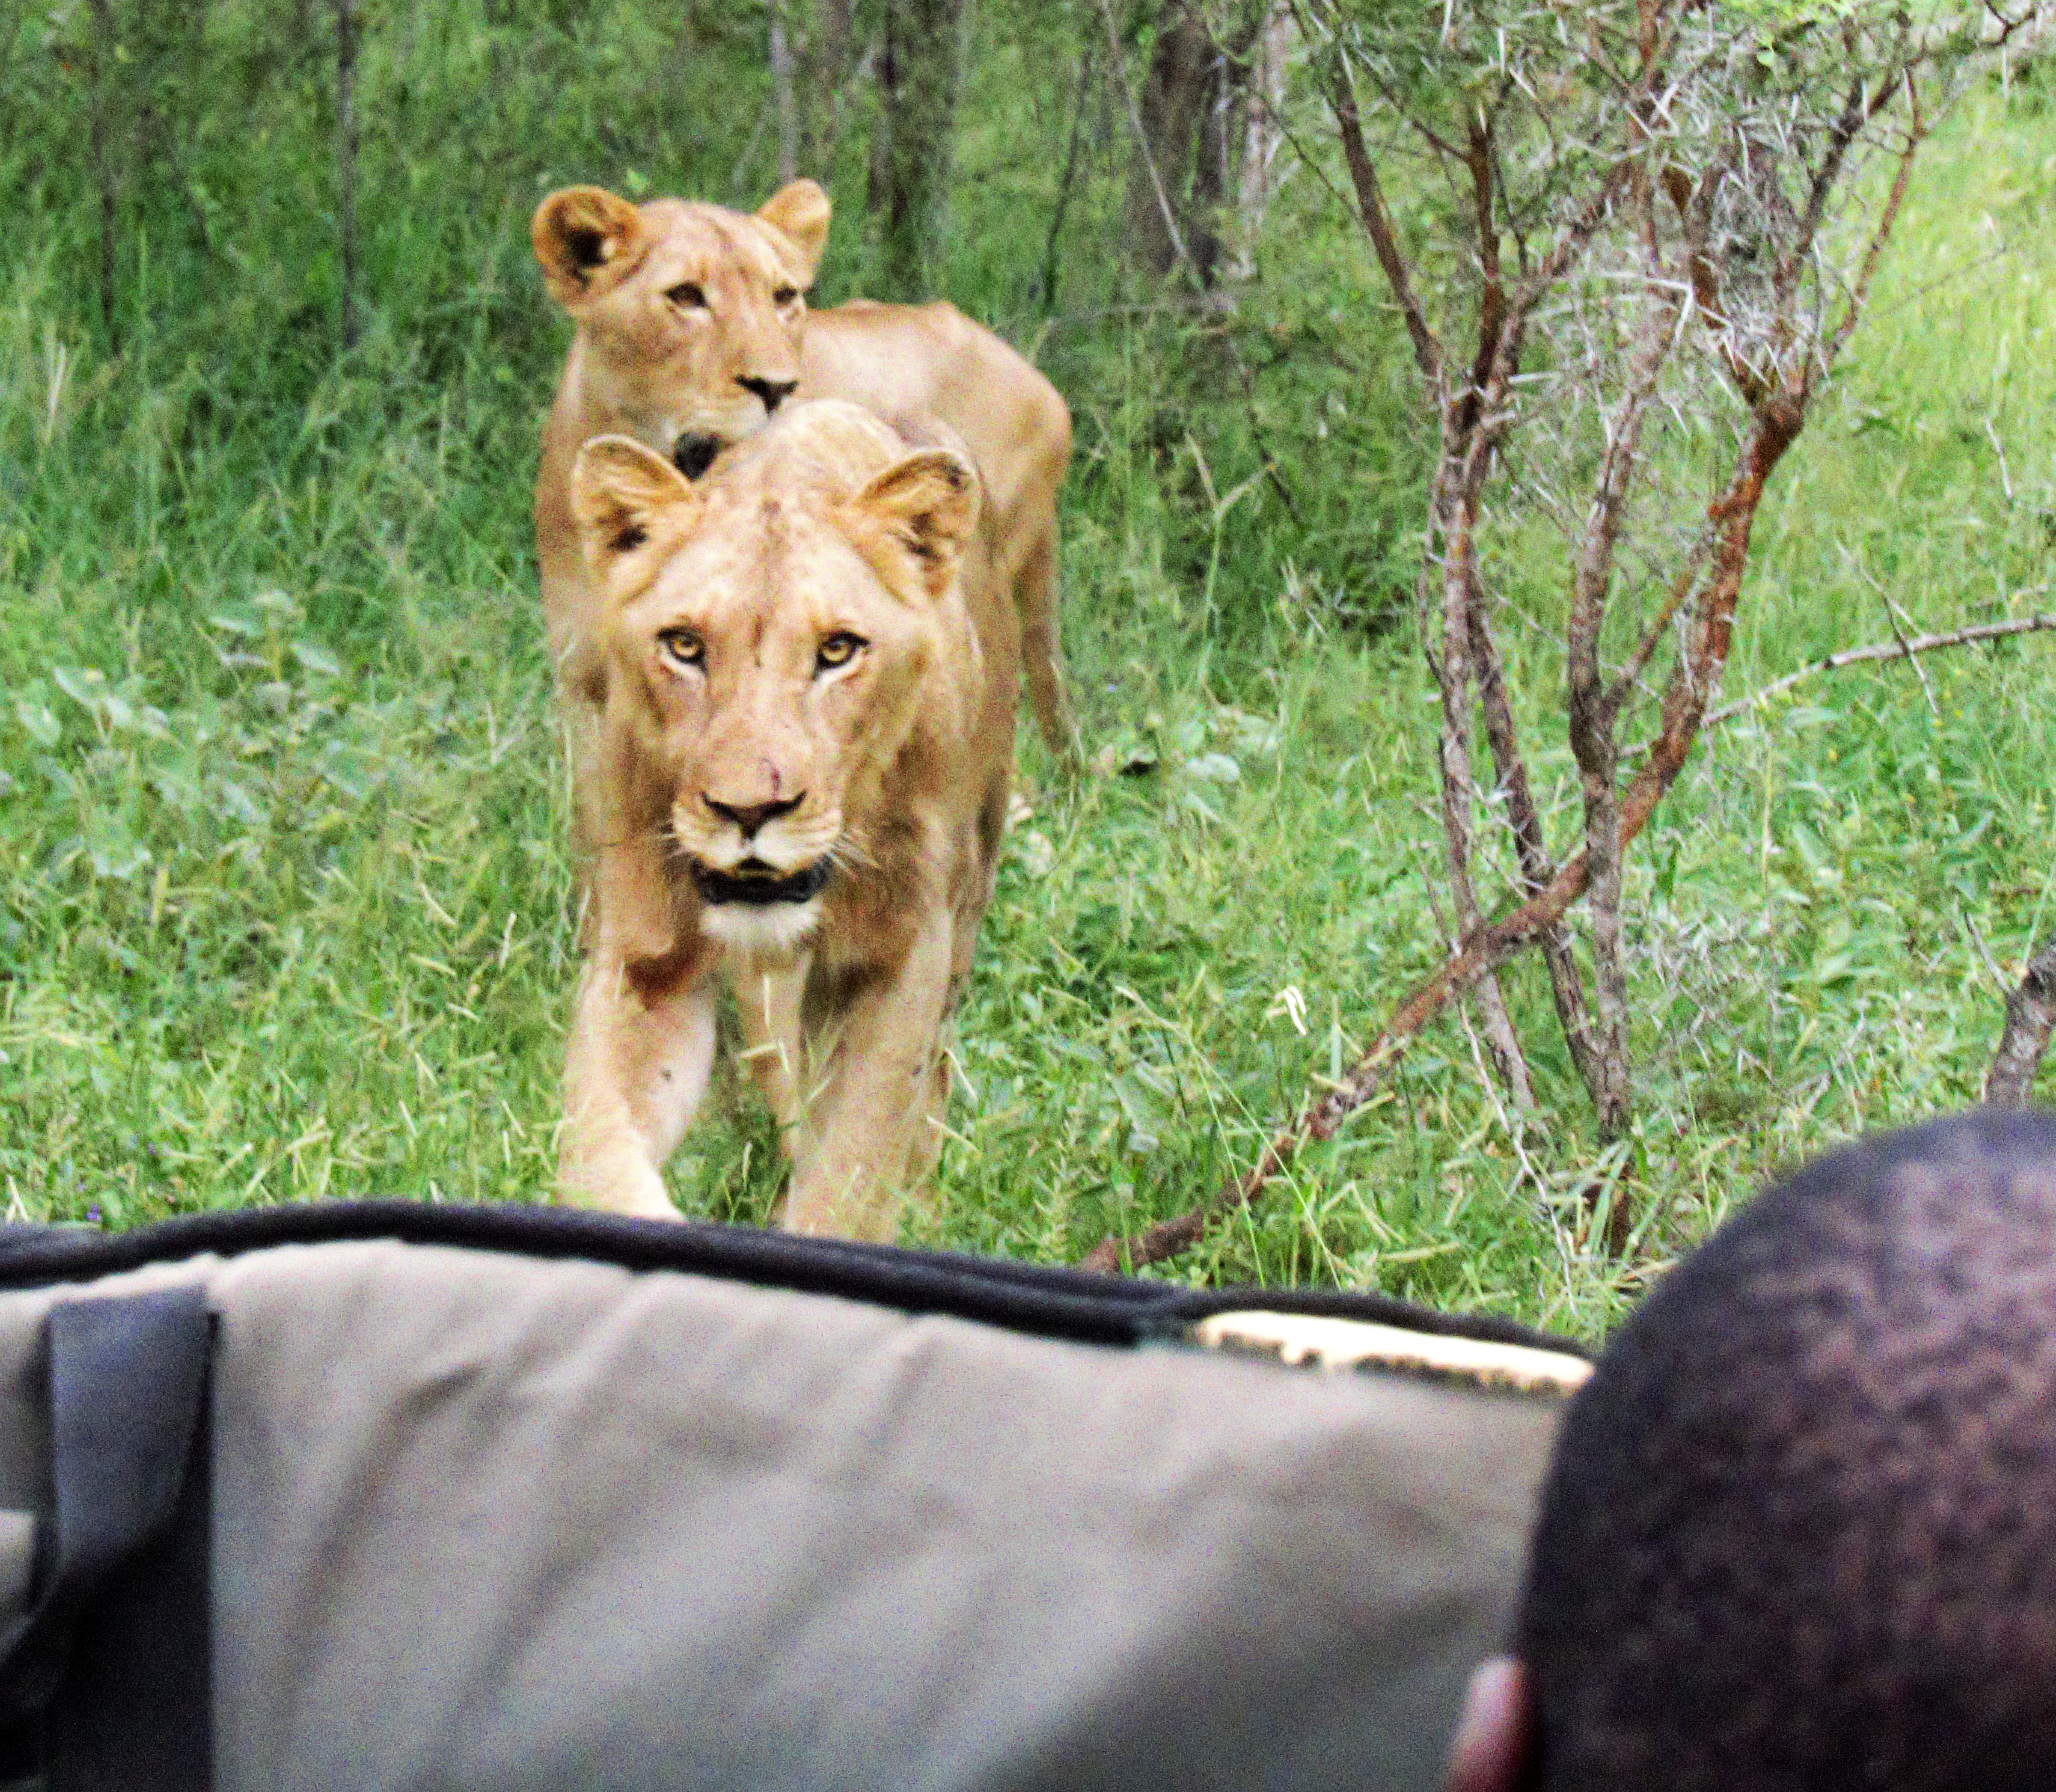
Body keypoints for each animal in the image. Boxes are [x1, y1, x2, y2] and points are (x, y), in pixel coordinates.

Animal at [557, 400, 1018, 1240]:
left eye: (837, 650)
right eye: (684, 645)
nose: (750, 810)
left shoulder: (906, 956)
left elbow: (854, 1170)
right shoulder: (643, 960)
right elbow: (597, 1153)